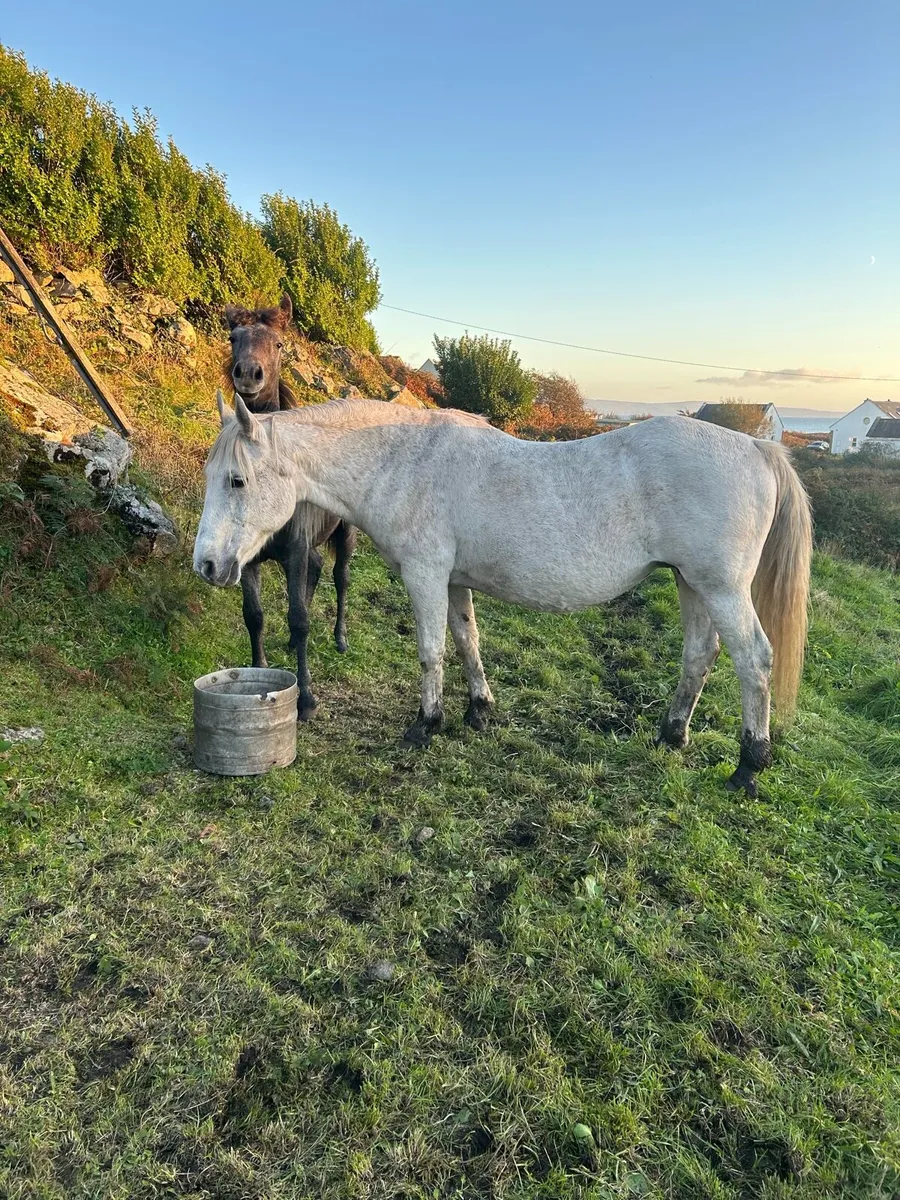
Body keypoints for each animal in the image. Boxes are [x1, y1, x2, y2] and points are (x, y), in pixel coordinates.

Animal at [194, 393, 812, 797]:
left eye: (237, 480)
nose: (207, 565)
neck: (405, 461)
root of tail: (756, 449)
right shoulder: (453, 582)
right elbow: (467, 642)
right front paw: (479, 711)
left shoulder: (425, 575)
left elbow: (431, 652)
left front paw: (425, 725)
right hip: (691, 584)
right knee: (700, 656)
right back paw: (671, 736)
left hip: (721, 589)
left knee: (753, 661)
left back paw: (749, 766)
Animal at [222, 295, 356, 719]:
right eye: (233, 337)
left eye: (279, 343)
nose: (248, 375)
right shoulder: (248, 556)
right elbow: (254, 615)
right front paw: (258, 670)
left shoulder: (295, 549)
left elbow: (299, 620)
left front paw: (307, 699)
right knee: (316, 571)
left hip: (345, 534)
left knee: (340, 577)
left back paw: (340, 638)